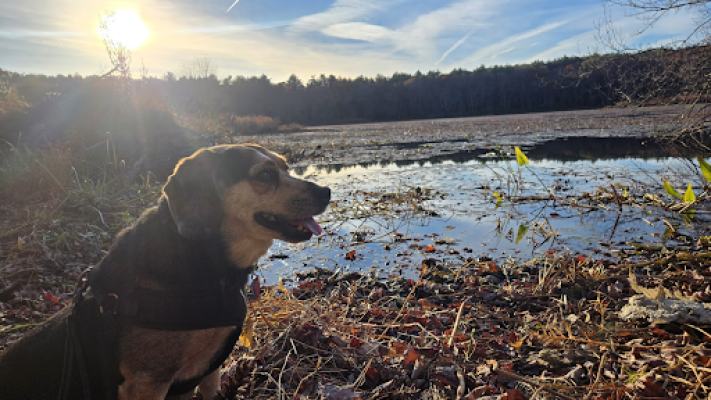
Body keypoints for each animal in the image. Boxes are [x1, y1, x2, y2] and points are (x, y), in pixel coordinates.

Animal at [0, 145, 332, 400]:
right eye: (265, 175)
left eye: (286, 168)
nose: (326, 191)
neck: (205, 262)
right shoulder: (147, 383)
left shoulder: (210, 372)